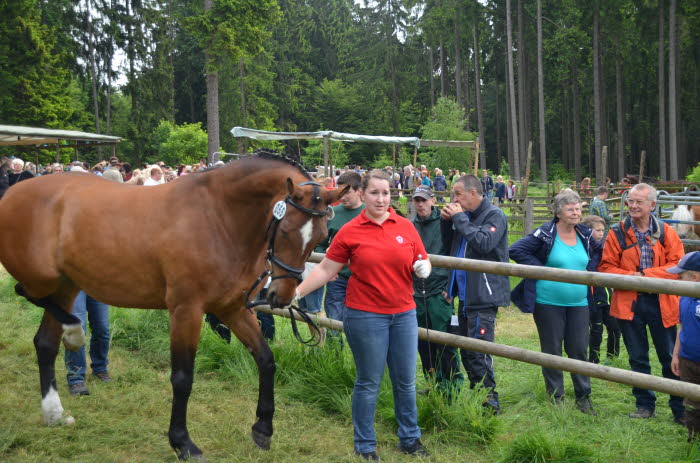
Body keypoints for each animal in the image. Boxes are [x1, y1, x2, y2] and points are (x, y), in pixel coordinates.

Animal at [0, 153, 348, 460]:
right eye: (286, 230)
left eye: (319, 236)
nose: (282, 296)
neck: (219, 216)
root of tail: (13, 192)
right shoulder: (186, 310)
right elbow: (182, 378)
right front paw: (182, 442)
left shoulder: (233, 309)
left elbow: (266, 360)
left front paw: (262, 429)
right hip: (44, 278)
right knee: (25, 293)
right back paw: (73, 333)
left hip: (68, 285)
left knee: (45, 343)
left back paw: (54, 412)